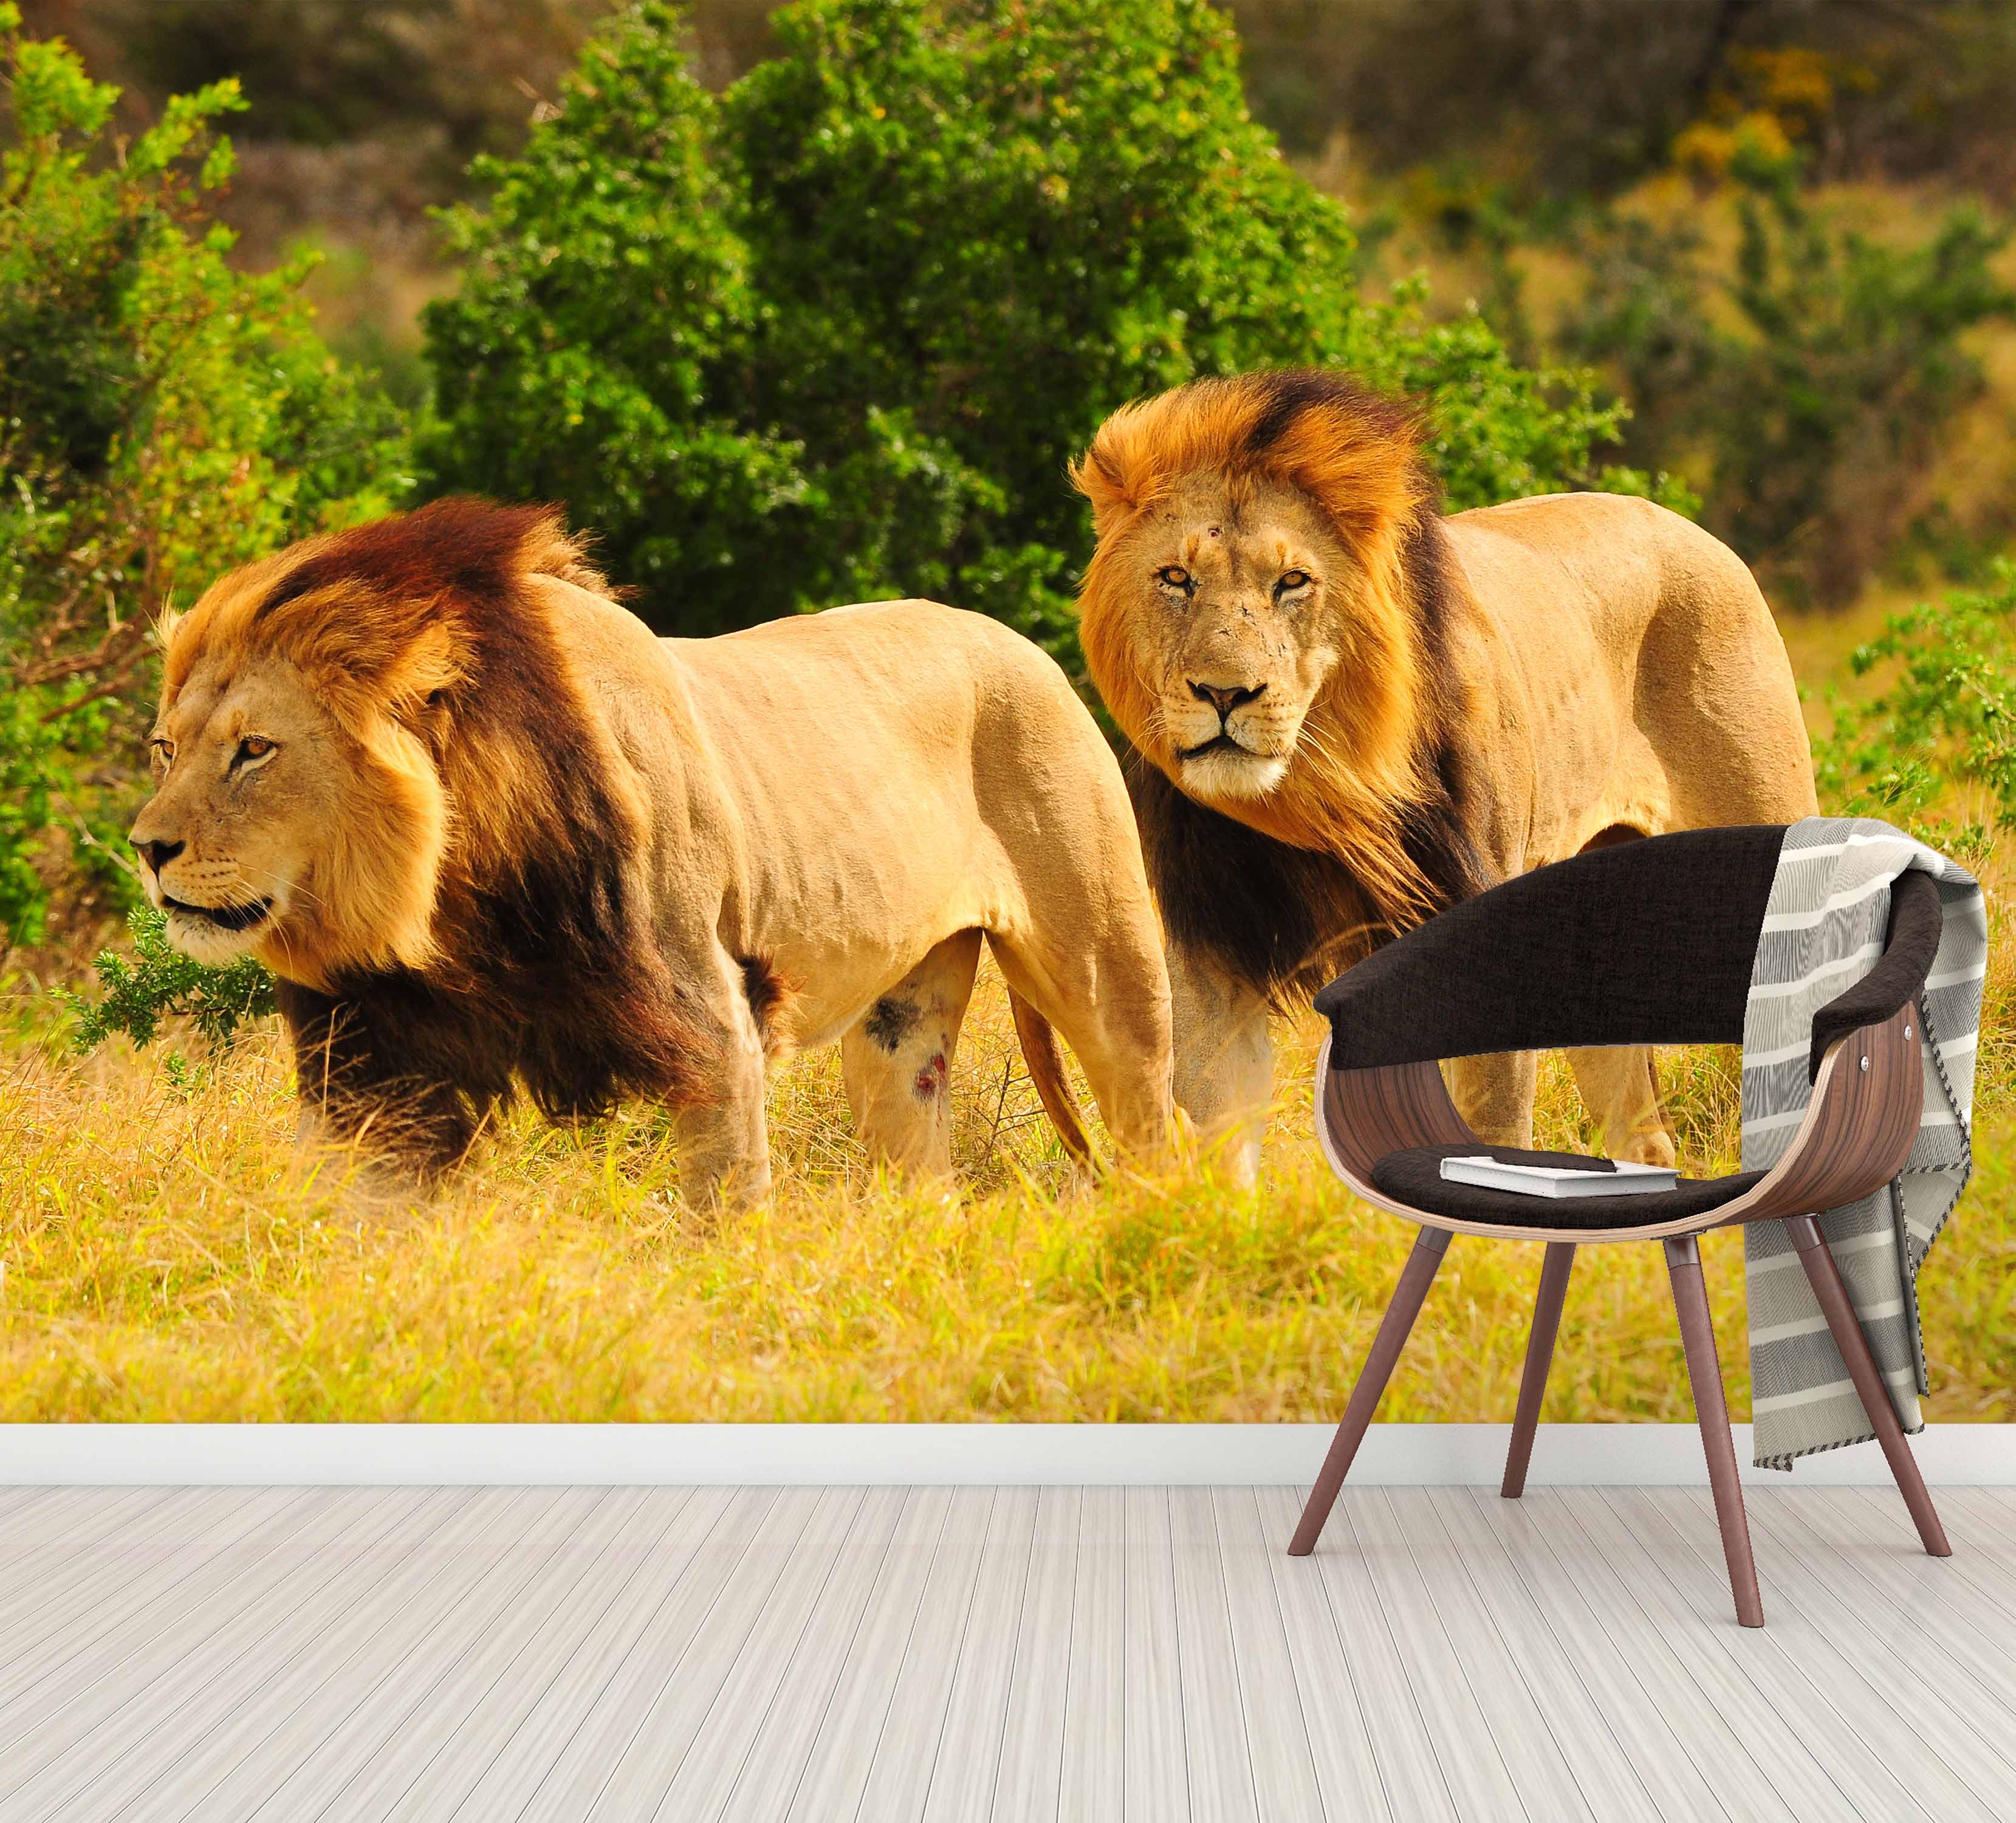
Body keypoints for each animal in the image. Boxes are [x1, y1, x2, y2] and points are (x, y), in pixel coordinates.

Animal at [128, 497, 1175, 1205]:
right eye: (166, 749)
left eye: (254, 750)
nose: (147, 849)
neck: (449, 908)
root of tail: (1023, 643)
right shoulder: (376, 1069)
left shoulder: (714, 1024)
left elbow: (722, 1208)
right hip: (899, 1025)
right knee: (919, 1154)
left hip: (1106, 962)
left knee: (1149, 1110)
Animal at [1071, 369, 1817, 1181]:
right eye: (1176, 579)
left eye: (1292, 582)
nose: (1225, 693)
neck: (1317, 793)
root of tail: (1701, 534)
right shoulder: (1212, 959)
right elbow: (1219, 1143)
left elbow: (1489, 1127)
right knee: (1641, 1134)